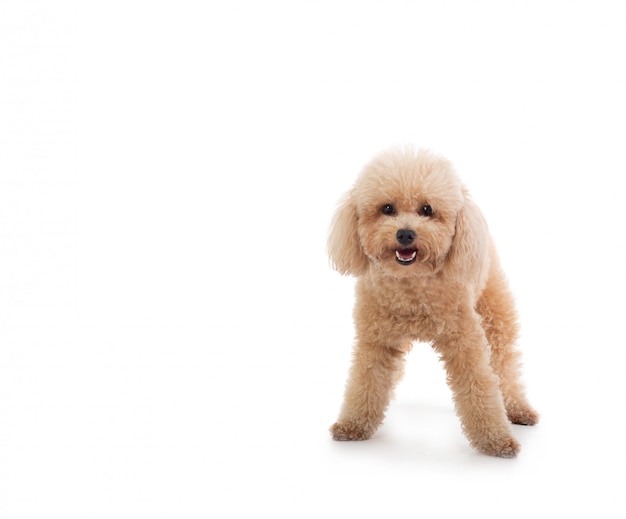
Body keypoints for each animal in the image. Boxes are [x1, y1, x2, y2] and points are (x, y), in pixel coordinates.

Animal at [326, 146, 536, 460]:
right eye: (387, 208)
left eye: (427, 209)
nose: (405, 233)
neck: (413, 283)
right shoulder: (376, 343)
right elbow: (365, 383)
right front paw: (353, 426)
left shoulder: (466, 344)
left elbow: (480, 387)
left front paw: (496, 440)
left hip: (495, 316)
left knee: (505, 366)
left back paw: (517, 409)